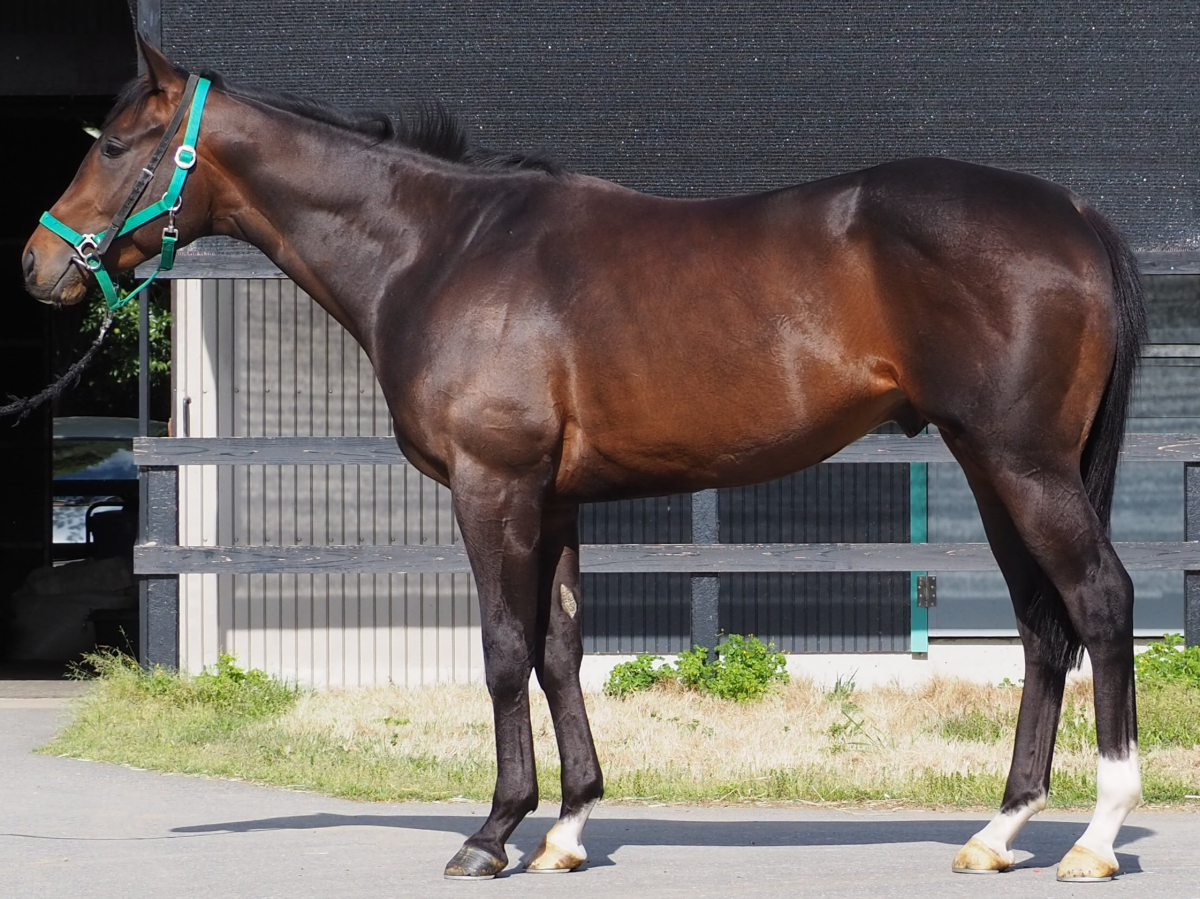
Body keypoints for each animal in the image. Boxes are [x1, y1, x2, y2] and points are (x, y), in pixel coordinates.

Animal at [24, 37, 1146, 883]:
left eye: (115, 144)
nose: (38, 265)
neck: (443, 246)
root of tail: (1074, 211)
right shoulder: (555, 499)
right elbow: (560, 648)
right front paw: (565, 827)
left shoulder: (492, 488)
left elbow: (501, 649)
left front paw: (491, 832)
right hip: (991, 465)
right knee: (1042, 626)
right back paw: (1000, 830)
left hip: (1023, 463)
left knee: (1099, 600)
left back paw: (1093, 838)